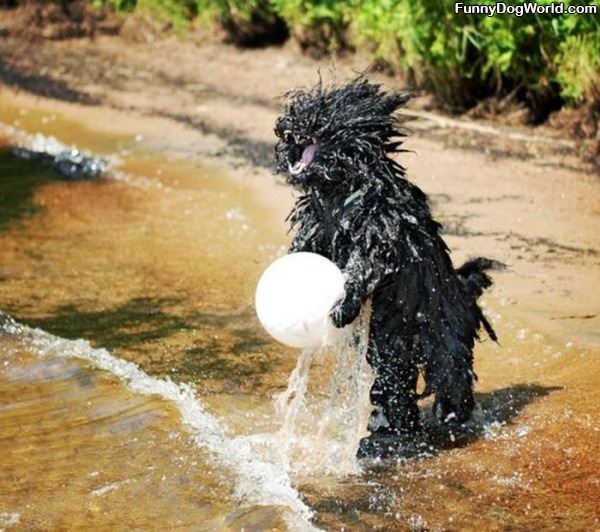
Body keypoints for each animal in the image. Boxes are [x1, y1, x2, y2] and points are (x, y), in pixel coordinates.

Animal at [274, 77, 500, 460]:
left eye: (324, 114)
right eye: (299, 108)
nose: (286, 125)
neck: (340, 191)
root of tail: (465, 292)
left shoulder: (378, 235)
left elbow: (360, 269)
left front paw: (342, 306)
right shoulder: (316, 229)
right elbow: (305, 249)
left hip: (439, 339)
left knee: (451, 376)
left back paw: (453, 417)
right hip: (391, 344)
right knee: (395, 386)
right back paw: (388, 430)